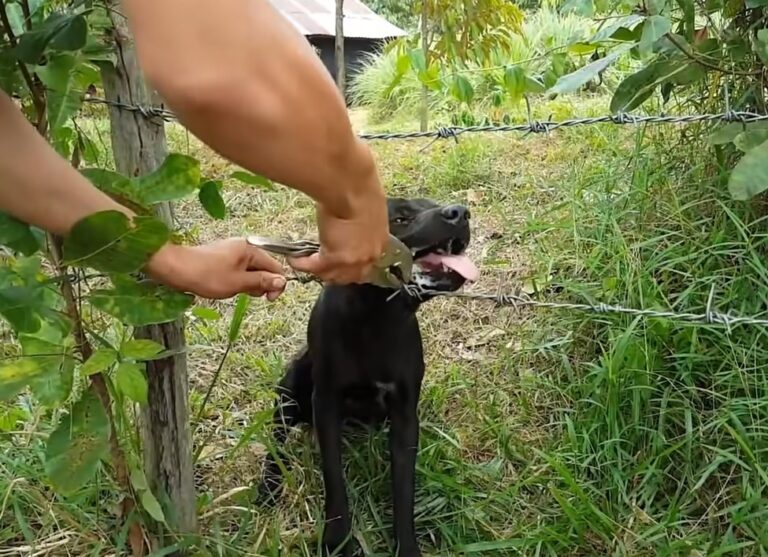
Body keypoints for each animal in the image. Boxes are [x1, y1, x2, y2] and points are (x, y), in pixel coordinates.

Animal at [255, 198, 476, 552]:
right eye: (400, 218)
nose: (460, 212)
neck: (376, 316)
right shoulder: (326, 404)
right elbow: (334, 478)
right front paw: (337, 541)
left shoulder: (404, 416)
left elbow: (403, 490)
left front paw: (406, 547)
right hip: (290, 386)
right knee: (277, 439)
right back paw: (269, 485)